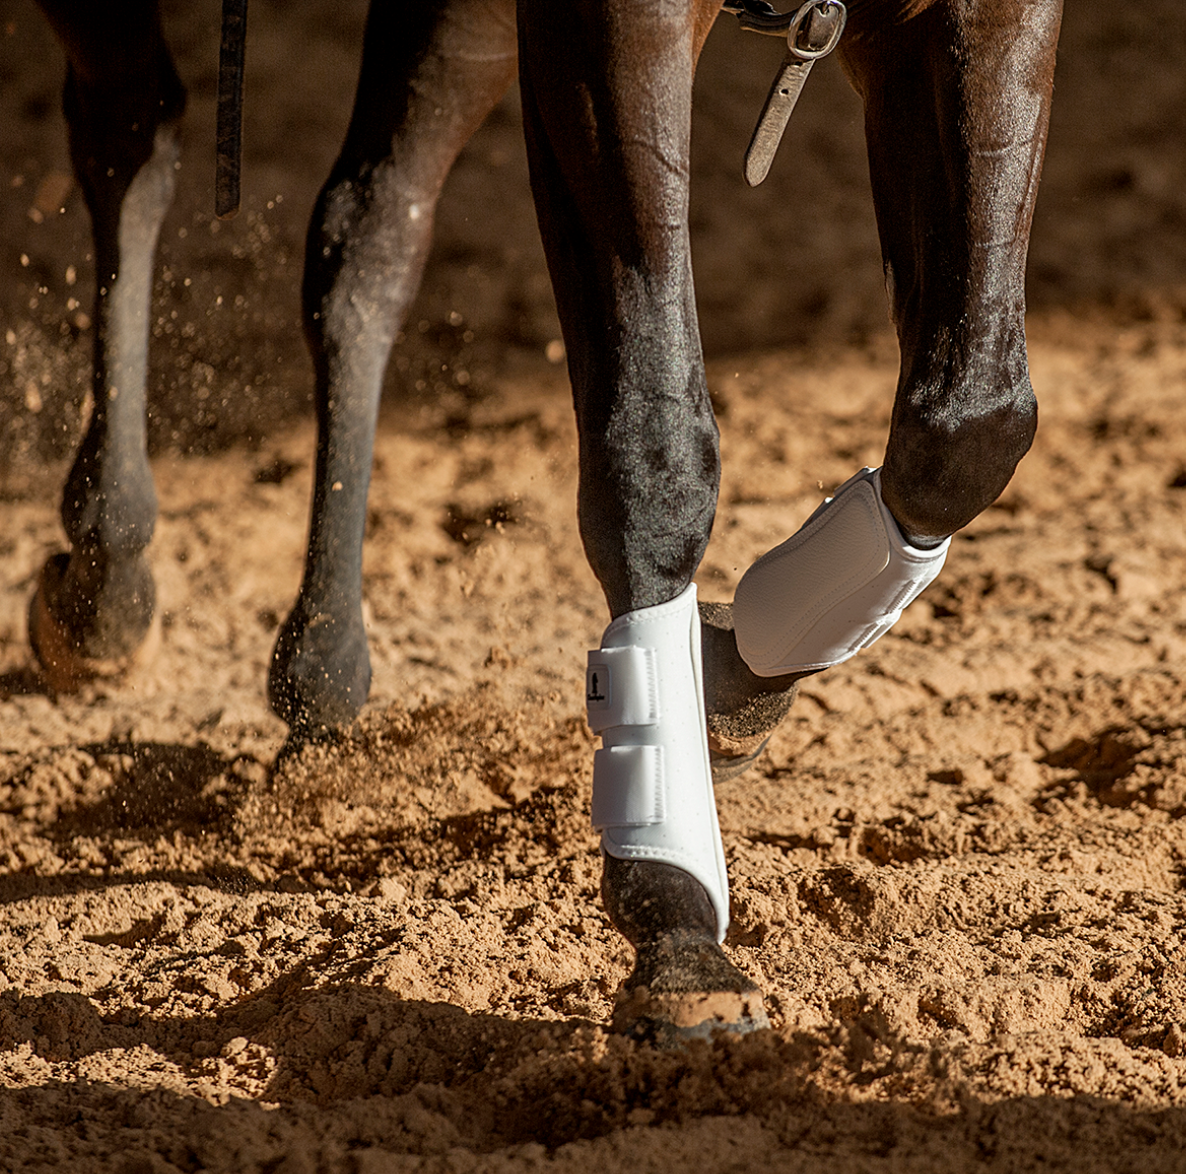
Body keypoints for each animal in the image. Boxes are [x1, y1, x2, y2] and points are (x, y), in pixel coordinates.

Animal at [25, 0, 1063, 1042]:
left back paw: (317, 672)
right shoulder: (606, 32)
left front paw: (729, 674)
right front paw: (674, 907)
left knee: (368, 236)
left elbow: (968, 427)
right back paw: (104, 580)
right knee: (132, 130)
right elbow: (653, 447)